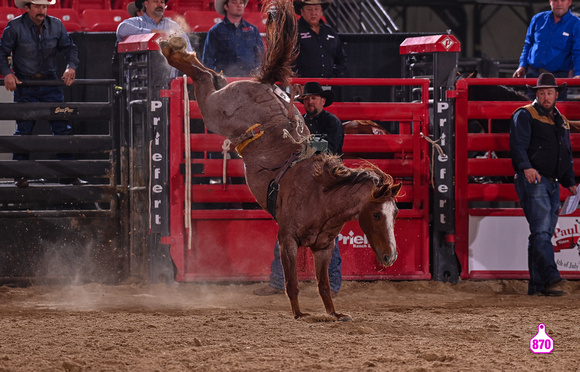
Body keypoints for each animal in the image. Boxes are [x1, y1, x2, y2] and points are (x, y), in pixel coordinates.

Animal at [161, 0, 402, 320]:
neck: (321, 197)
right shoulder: (286, 239)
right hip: (216, 112)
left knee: (208, 75)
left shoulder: (324, 248)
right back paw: (172, 48)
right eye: (376, 214)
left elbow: (324, 285)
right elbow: (292, 282)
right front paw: (300, 314)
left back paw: (200, 63)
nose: (390, 257)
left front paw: (335, 314)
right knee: (201, 79)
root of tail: (264, 84)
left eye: (395, 214)